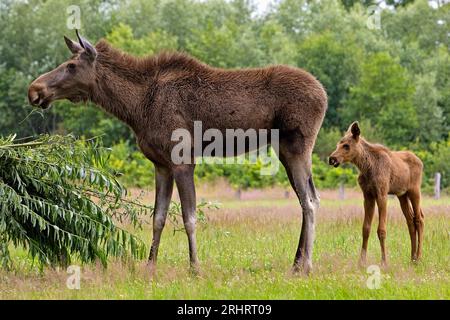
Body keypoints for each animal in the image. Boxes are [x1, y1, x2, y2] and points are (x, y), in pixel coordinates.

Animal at [28, 31, 326, 274]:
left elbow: (189, 217)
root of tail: (323, 94)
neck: (135, 108)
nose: (34, 90)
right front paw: (150, 266)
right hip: (285, 150)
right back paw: (296, 262)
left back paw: (306, 266)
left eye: (71, 66)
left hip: (297, 146)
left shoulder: (183, 160)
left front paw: (195, 268)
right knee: (309, 199)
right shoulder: (160, 164)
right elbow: (157, 217)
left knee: (310, 202)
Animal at [328, 121, 424, 266]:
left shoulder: (382, 194)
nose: (332, 159)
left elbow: (381, 230)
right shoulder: (368, 195)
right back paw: (412, 258)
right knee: (410, 220)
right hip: (402, 194)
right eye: (337, 144)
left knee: (419, 219)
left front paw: (384, 261)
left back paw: (418, 258)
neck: (366, 167)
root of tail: (421, 162)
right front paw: (361, 262)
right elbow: (366, 228)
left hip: (414, 190)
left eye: (346, 146)